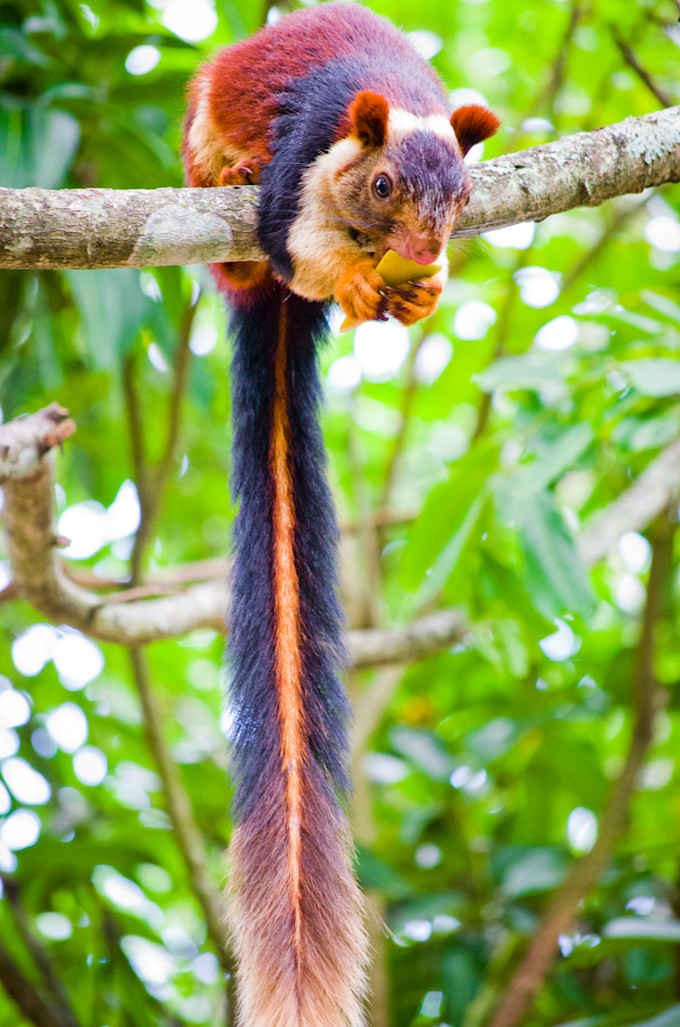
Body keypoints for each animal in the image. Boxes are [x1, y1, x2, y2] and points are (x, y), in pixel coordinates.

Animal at [182, 4, 501, 1022]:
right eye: (384, 183)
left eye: (464, 199)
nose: (427, 252)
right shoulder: (302, 168)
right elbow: (298, 246)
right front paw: (358, 284)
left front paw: (425, 292)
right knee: (248, 245)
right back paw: (227, 184)